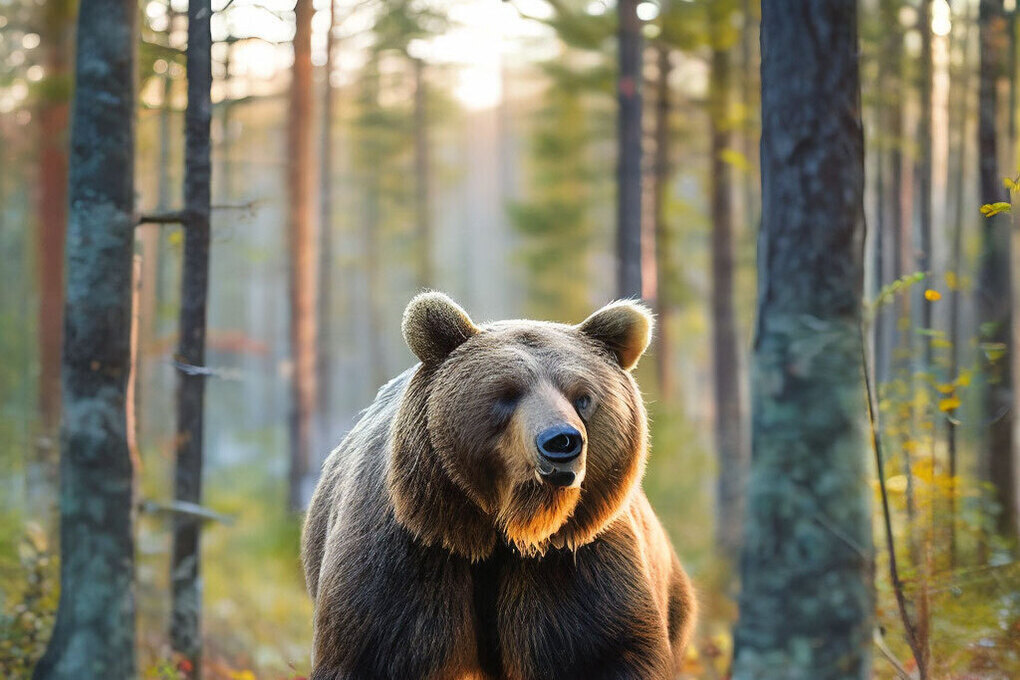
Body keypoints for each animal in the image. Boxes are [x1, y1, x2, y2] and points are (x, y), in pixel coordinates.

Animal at [301, 292, 696, 680]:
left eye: (583, 396)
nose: (562, 441)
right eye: (506, 393)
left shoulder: (577, 556)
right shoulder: (411, 554)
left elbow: (601, 652)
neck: (502, 532)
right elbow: (378, 649)